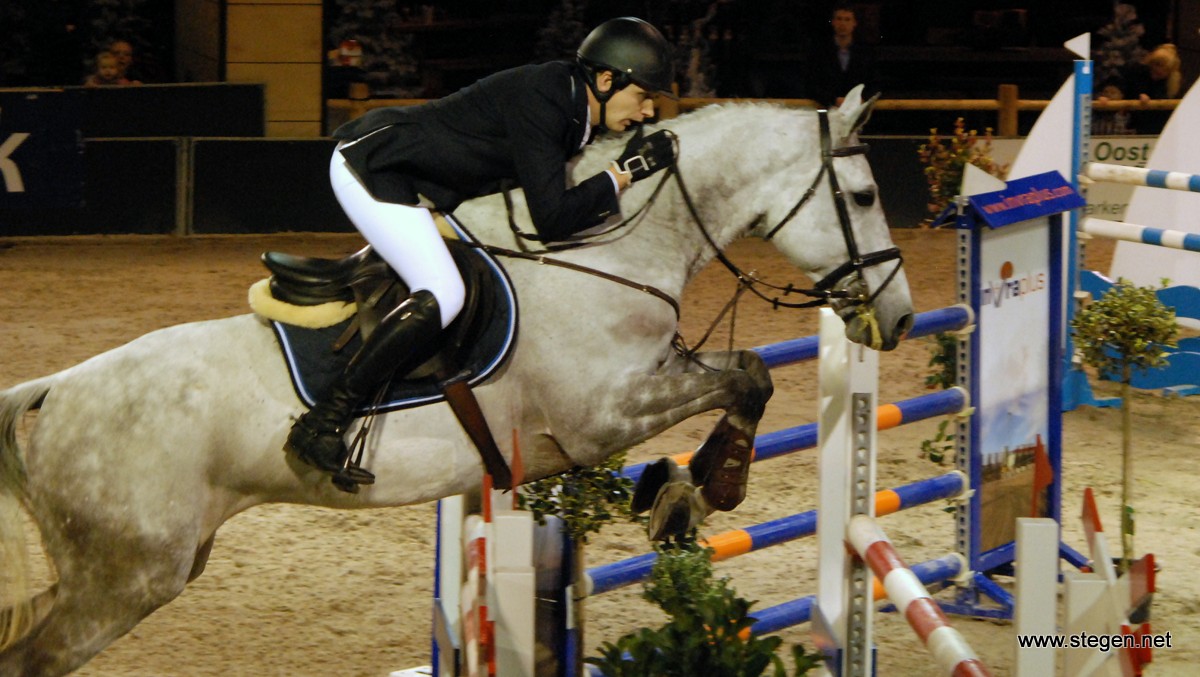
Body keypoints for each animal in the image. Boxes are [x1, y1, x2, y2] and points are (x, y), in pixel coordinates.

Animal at [0, 87, 912, 672]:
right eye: (866, 194)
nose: (898, 319)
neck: (605, 247)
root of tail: (56, 389)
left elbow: (744, 377)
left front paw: (681, 492)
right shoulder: (602, 415)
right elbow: (746, 379)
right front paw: (702, 489)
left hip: (144, 566)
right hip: (125, 580)